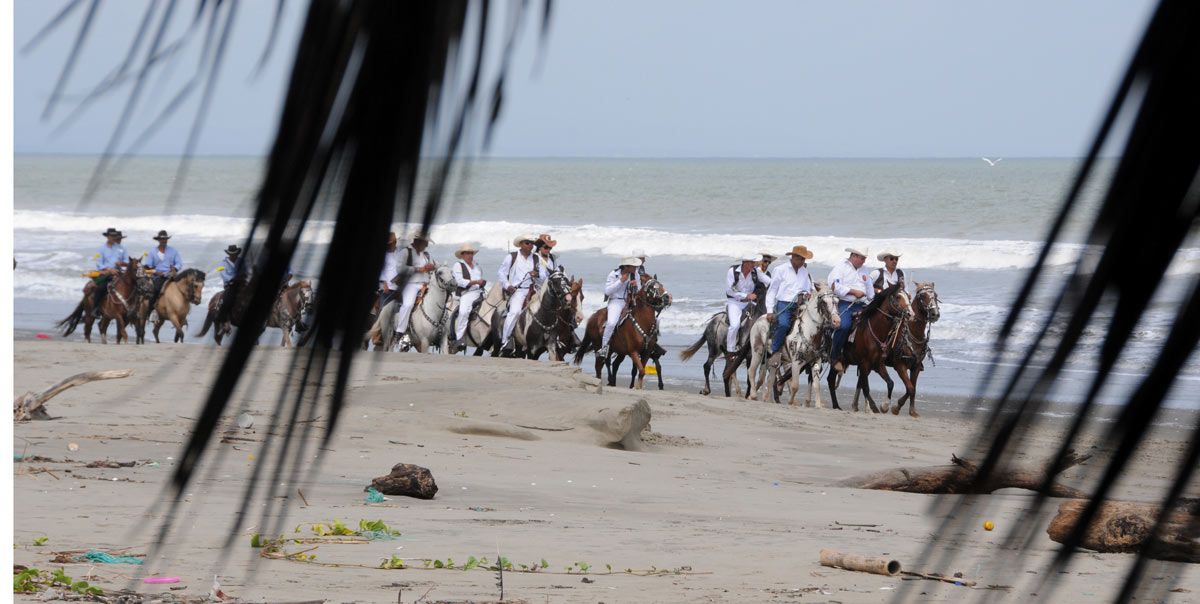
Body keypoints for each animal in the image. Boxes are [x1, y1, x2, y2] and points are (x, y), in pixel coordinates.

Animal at [830, 282, 912, 413]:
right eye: (898, 296)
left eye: (908, 296)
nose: (910, 313)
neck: (874, 331)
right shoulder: (864, 364)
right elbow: (865, 387)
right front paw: (873, 407)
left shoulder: (878, 363)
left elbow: (890, 383)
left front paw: (884, 406)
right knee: (831, 379)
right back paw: (835, 405)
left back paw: (836, 405)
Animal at [883, 282, 936, 415]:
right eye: (922, 296)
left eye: (936, 296)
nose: (935, 313)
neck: (913, 334)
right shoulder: (900, 366)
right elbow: (910, 388)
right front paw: (896, 407)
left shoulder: (916, 367)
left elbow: (912, 388)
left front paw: (911, 410)